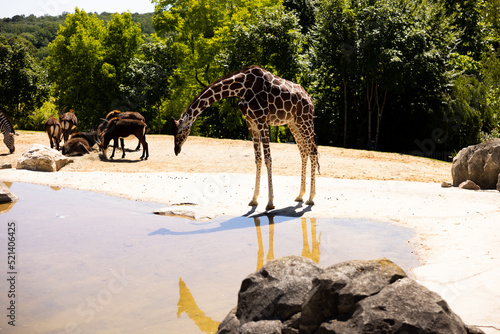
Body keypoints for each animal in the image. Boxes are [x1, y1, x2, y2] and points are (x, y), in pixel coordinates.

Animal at [171, 66, 316, 210]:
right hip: (293, 123)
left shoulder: (262, 120)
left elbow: (268, 159)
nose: (176, 150)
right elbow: (258, 159)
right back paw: (300, 195)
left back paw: (310, 198)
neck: (242, 88)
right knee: (304, 152)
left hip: (305, 120)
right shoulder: (251, 123)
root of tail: (309, 98)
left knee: (313, 151)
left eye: (179, 131)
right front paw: (254, 199)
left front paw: (270, 202)